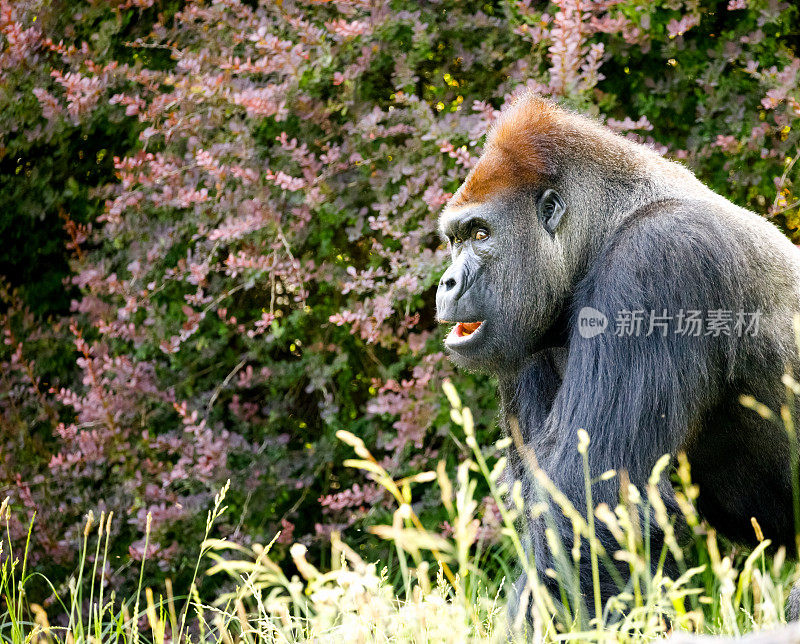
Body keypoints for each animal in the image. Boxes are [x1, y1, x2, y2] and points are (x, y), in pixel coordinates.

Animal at [434, 93, 800, 620]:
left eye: (480, 235)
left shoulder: (654, 262)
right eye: (455, 240)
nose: (446, 283)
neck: (609, 221)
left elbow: (591, 506)